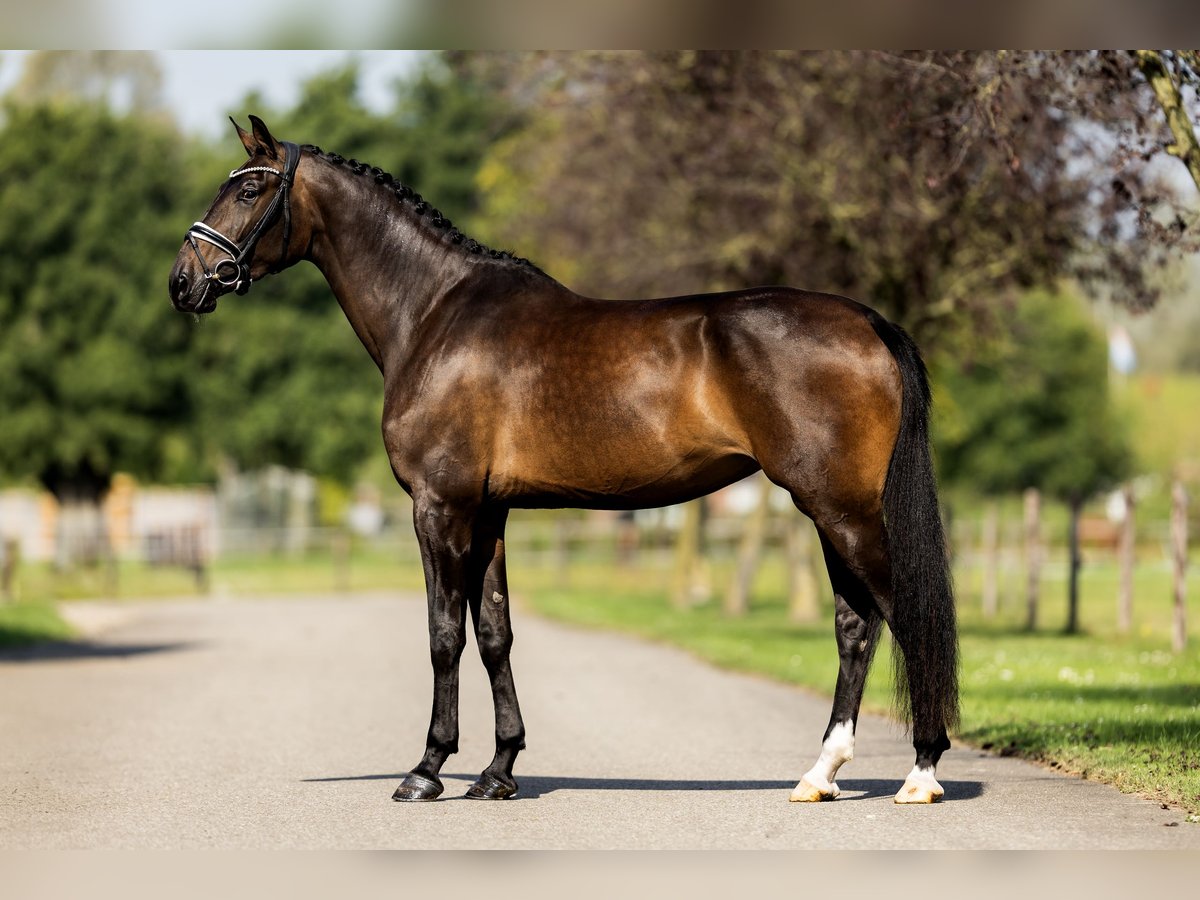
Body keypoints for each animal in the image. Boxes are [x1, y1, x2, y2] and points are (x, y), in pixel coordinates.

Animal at [169, 116, 960, 806]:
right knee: (855, 627)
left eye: (249, 189)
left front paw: (427, 770)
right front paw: (499, 770)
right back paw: (819, 774)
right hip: (830, 512)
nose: (184, 282)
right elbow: (494, 634)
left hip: (842, 508)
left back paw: (920, 773)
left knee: (902, 615)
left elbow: (443, 634)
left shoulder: (439, 507)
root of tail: (868, 321)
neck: (433, 313)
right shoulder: (488, 512)